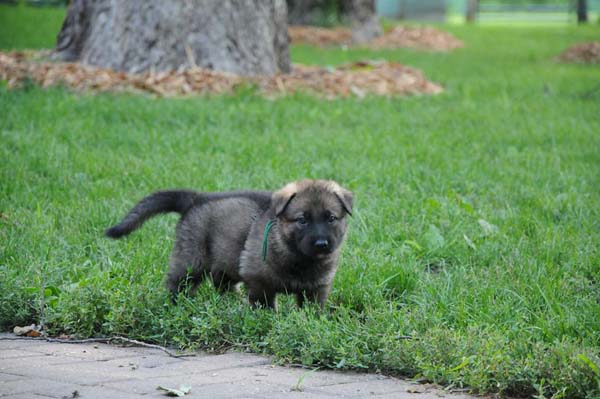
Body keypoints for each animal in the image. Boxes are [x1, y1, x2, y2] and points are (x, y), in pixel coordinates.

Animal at [106, 180, 352, 310]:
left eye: (331, 218)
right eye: (302, 220)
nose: (321, 243)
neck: (299, 258)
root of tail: (196, 199)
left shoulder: (317, 287)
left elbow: (313, 307)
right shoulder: (258, 279)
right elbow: (264, 303)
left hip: (225, 261)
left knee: (221, 282)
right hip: (191, 260)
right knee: (177, 283)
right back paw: (177, 305)